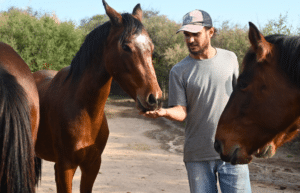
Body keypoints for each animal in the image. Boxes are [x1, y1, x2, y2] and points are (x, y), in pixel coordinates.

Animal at [32, 0, 162, 192]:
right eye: (125, 46)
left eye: (151, 48)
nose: (154, 98)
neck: (85, 112)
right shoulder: (64, 167)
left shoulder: (92, 165)